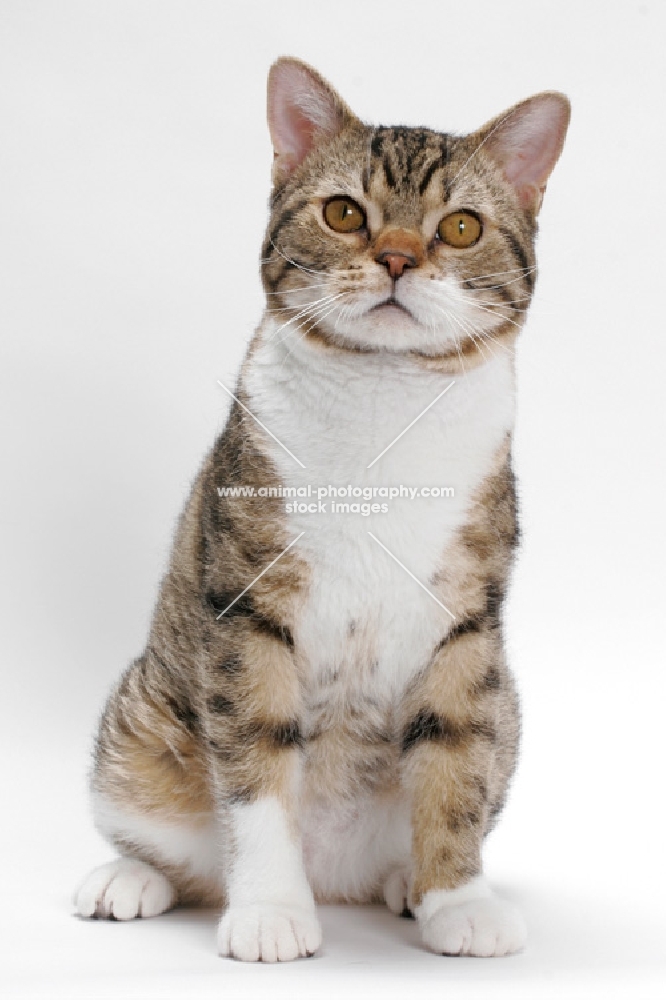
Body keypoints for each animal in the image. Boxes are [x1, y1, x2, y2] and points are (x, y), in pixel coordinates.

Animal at [75, 56, 568, 960]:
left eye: (460, 228)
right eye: (345, 213)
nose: (399, 258)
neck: (384, 402)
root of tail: (337, 875)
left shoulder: (467, 623)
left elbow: (456, 760)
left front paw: (459, 899)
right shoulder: (248, 606)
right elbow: (257, 762)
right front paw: (270, 910)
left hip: (509, 706)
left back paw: (406, 884)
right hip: (140, 722)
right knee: (170, 843)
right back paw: (131, 878)